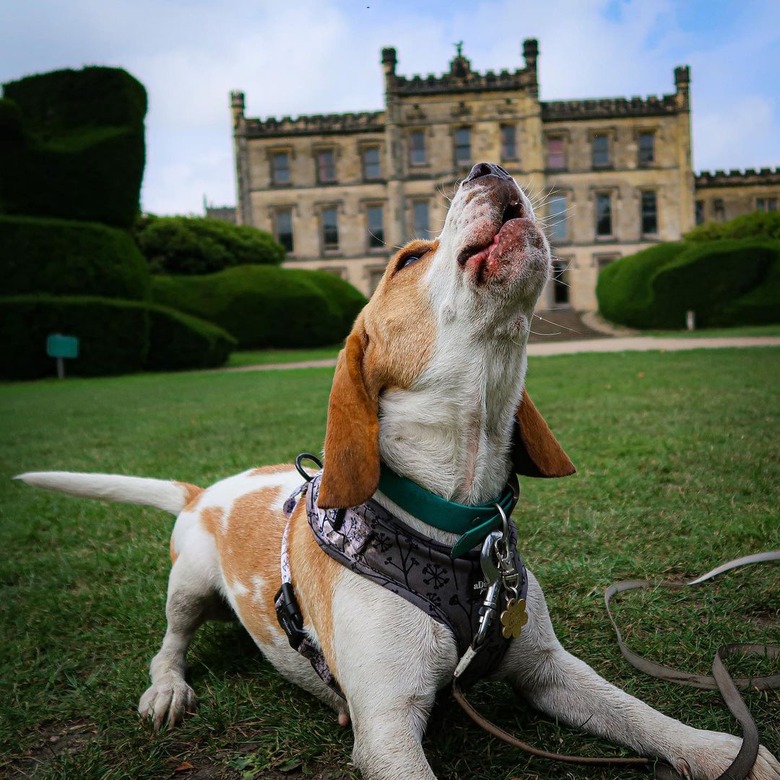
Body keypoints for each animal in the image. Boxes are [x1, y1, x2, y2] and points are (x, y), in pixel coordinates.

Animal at [16, 161, 772, 776]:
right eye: (408, 256)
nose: (488, 164)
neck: (455, 527)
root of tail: (208, 490)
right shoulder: (386, 732)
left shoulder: (550, 670)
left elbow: (641, 713)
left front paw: (723, 751)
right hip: (187, 586)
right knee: (169, 643)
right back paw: (168, 687)